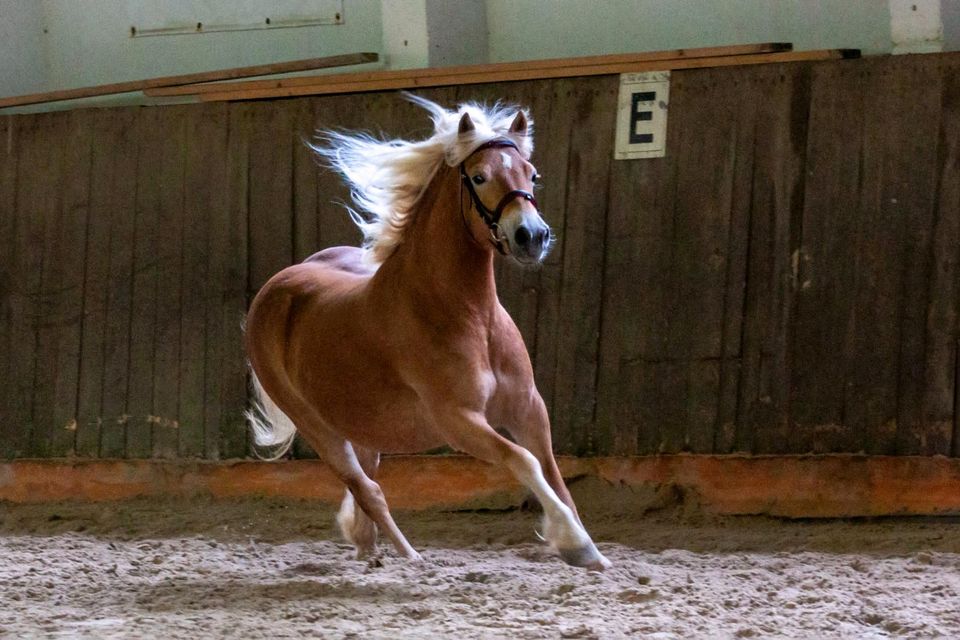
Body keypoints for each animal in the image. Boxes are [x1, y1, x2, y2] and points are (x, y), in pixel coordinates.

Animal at [244, 94, 612, 568]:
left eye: (532, 174)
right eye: (479, 176)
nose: (532, 236)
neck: (470, 318)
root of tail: (275, 289)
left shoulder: (528, 408)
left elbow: (553, 474)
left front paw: (591, 551)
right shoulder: (459, 420)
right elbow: (524, 462)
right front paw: (575, 544)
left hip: (363, 426)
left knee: (365, 496)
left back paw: (371, 551)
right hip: (318, 428)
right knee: (368, 490)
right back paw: (410, 557)